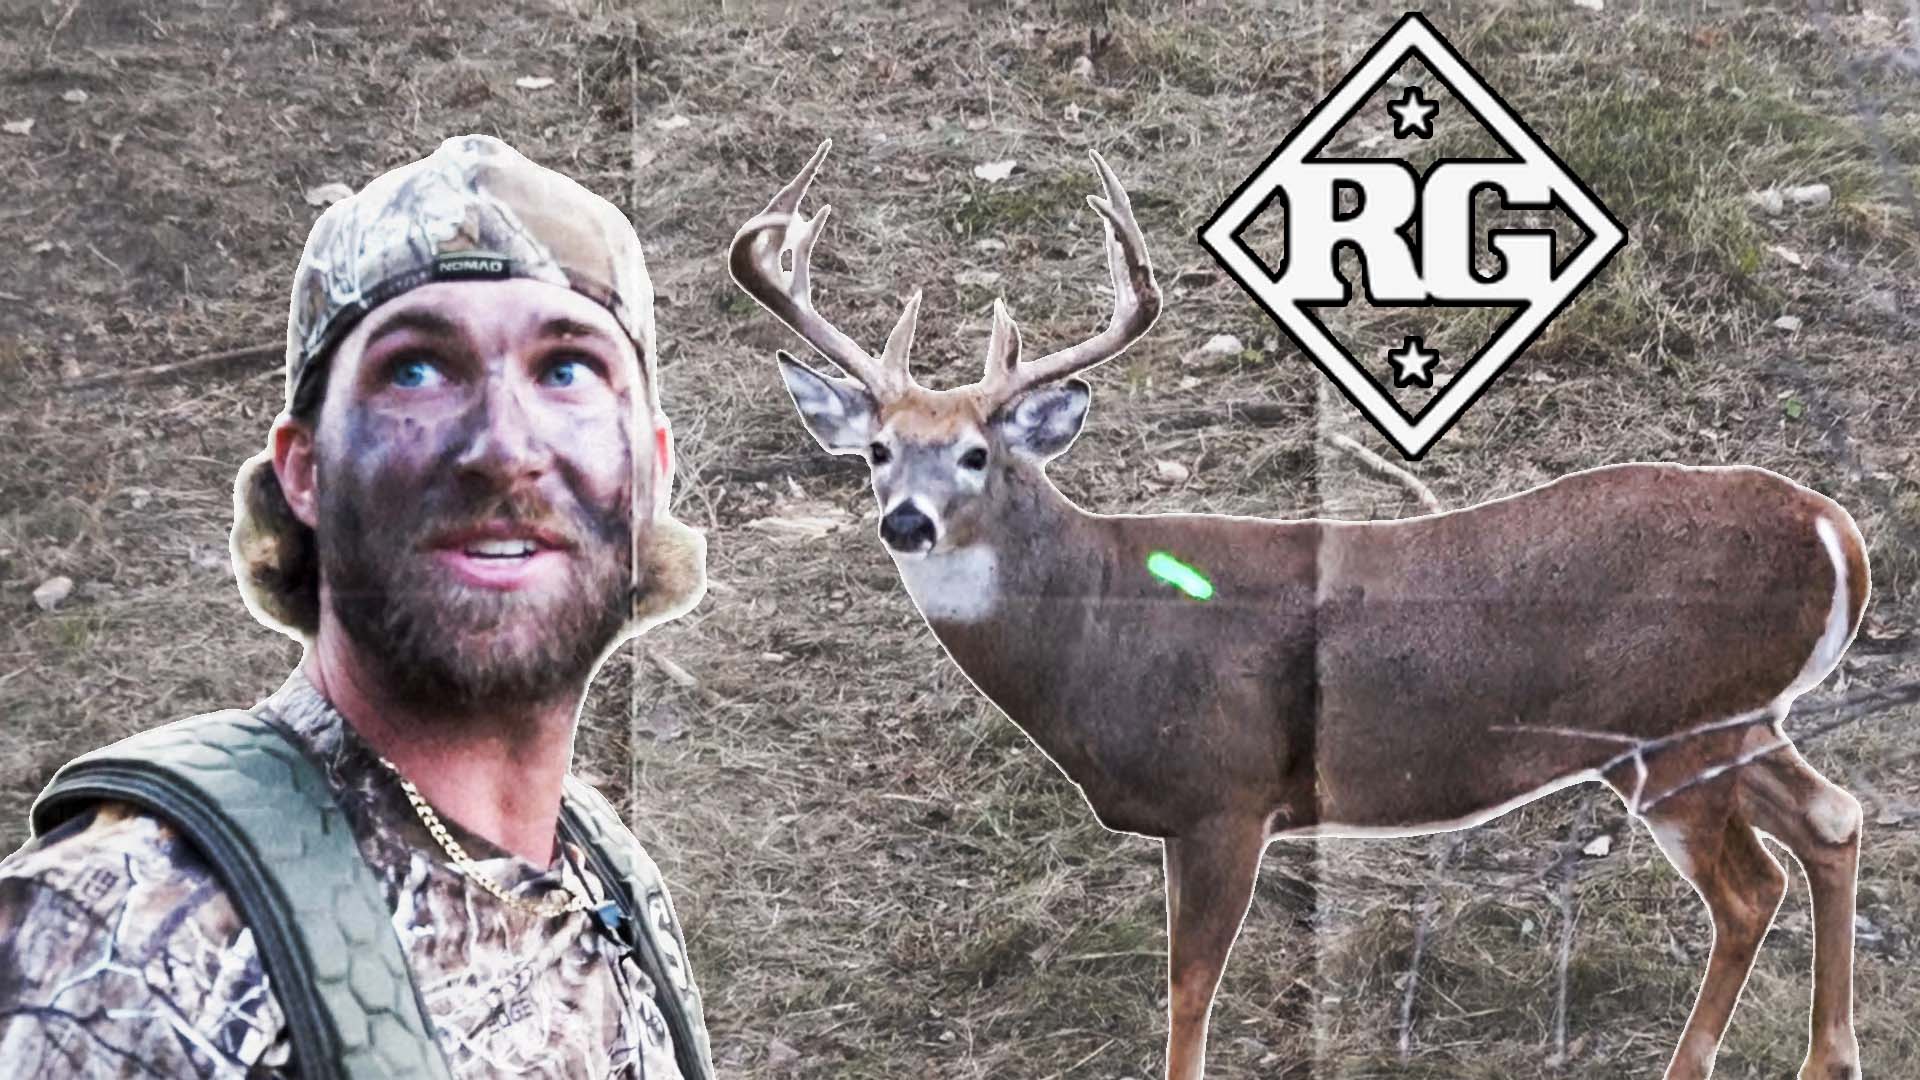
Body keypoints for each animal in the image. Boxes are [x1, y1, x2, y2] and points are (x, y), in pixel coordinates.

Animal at [728, 141, 1872, 1080]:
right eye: (878, 450)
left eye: (977, 453)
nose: (906, 522)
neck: (1101, 630)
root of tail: (1832, 529)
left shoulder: (1226, 794)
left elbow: (1190, 989)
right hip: (1739, 719)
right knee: (1834, 819)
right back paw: (1829, 1057)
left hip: (1674, 729)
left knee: (1749, 889)